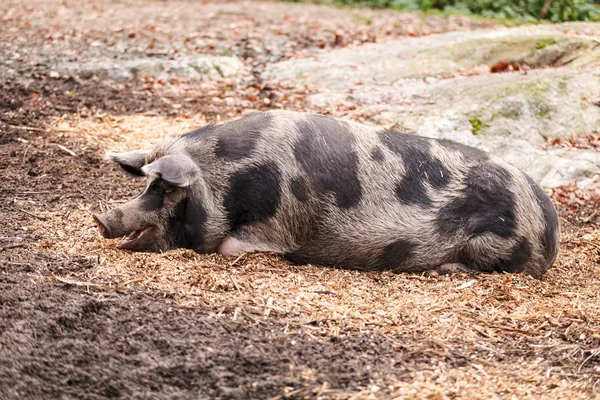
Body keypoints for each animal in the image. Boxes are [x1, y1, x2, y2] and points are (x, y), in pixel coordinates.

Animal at [92, 109, 556, 278]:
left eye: (165, 189)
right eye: (146, 185)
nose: (101, 218)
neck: (228, 179)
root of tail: (551, 223)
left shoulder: (277, 226)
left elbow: (229, 247)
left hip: (493, 244)